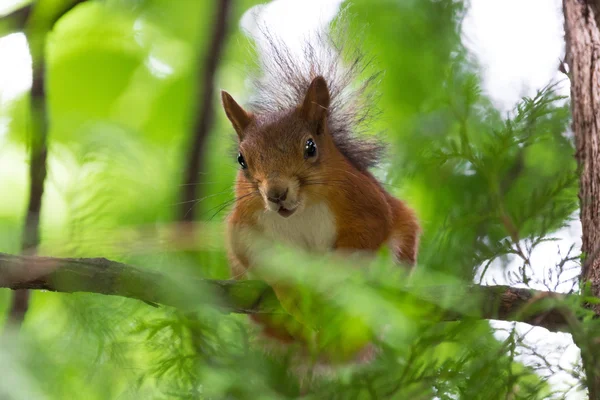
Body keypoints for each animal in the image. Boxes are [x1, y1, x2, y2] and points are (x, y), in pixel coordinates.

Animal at [218, 24, 420, 366]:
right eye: (241, 160)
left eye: (310, 147)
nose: (276, 194)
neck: (302, 209)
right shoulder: (244, 225)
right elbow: (259, 256)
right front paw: (294, 294)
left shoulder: (366, 204)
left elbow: (366, 235)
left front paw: (329, 278)